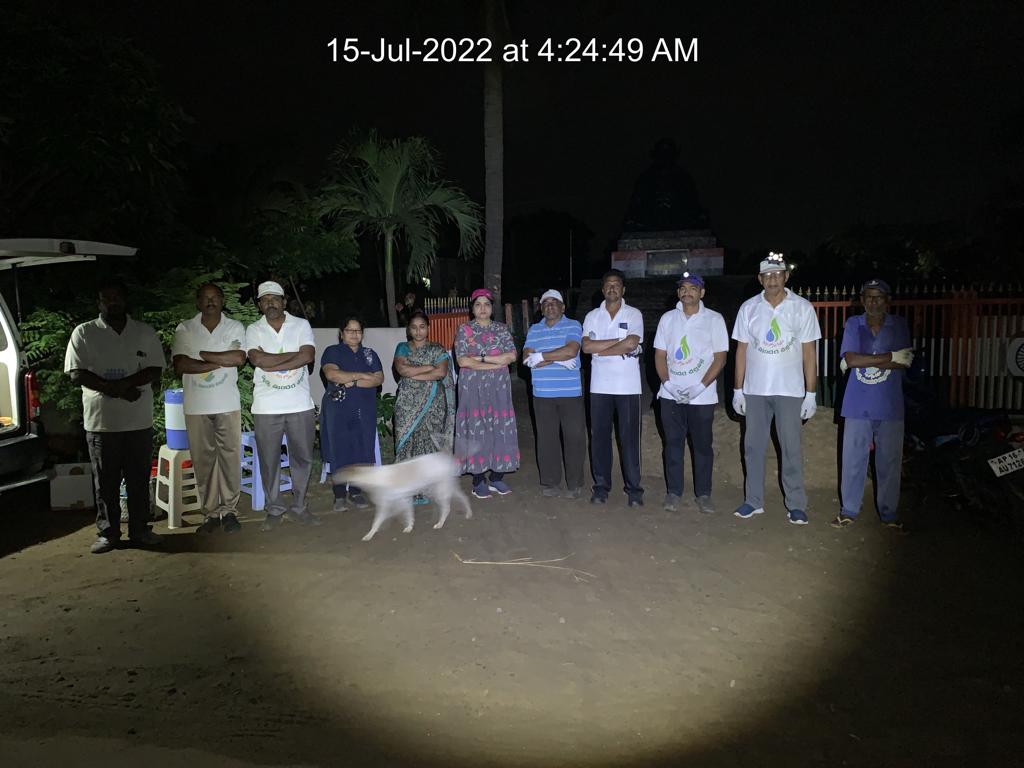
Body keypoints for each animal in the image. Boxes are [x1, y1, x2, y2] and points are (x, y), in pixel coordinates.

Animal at [336, 452, 473, 541]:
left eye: (340, 471)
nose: (332, 477)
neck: (374, 478)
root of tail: (447, 459)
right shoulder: (403, 500)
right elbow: (408, 514)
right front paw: (409, 526)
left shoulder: (388, 504)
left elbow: (377, 522)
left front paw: (369, 534)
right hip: (445, 487)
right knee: (463, 497)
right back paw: (467, 513)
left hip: (440, 490)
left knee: (447, 508)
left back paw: (440, 523)